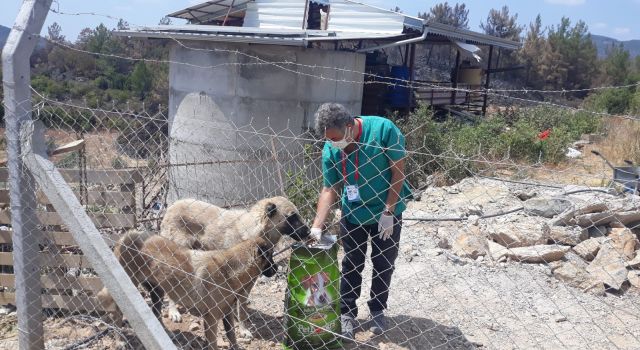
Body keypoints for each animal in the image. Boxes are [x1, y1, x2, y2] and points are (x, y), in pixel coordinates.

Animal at [97, 230, 276, 350]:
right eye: (271, 257)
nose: (277, 268)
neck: (230, 270)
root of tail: (126, 235)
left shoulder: (227, 313)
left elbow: (232, 335)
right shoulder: (211, 318)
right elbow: (213, 343)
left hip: (158, 292)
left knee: (156, 313)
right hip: (126, 289)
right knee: (116, 315)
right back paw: (119, 340)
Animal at [160, 196, 310, 338]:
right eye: (292, 217)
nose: (309, 232)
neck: (256, 230)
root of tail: (171, 206)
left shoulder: (248, 283)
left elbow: (242, 310)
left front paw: (243, 329)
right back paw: (174, 311)